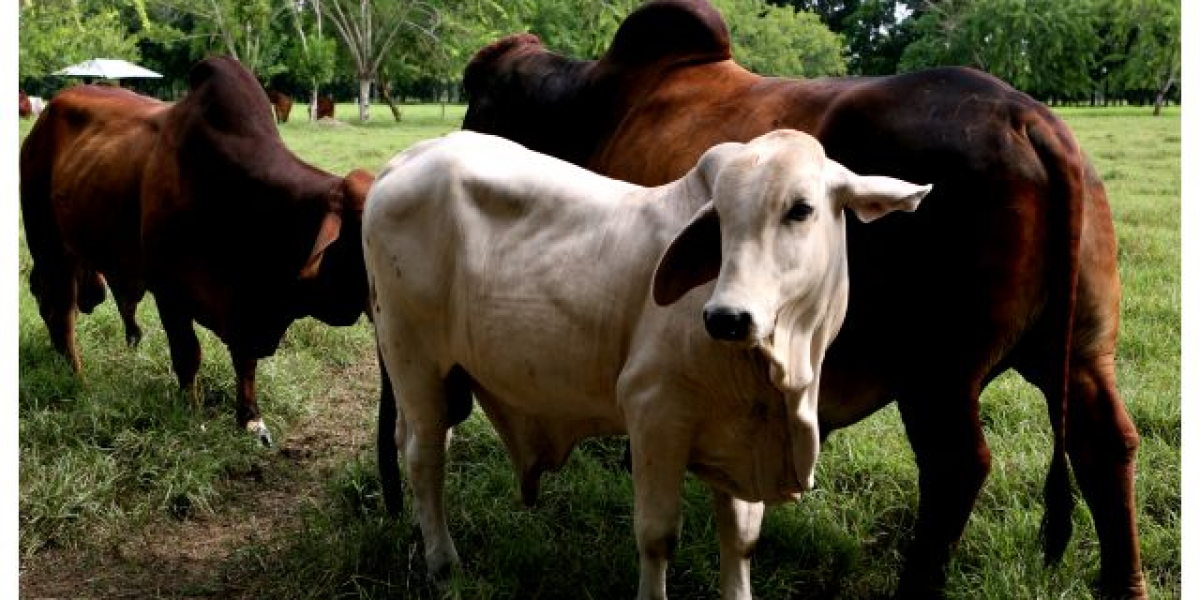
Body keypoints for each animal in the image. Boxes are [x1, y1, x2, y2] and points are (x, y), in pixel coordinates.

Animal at [21, 57, 372, 446]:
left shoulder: (245, 312)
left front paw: (251, 419)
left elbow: (245, 361)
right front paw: (191, 411)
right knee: (60, 311)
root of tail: (46, 113)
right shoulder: (169, 290)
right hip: (48, 244)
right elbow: (188, 353)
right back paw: (76, 376)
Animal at [362, 129, 926, 597]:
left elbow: (740, 540)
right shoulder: (654, 412)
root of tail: (403, 163)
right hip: (413, 359)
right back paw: (442, 561)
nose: (725, 318)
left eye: (801, 209)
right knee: (425, 455)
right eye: (719, 220)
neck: (780, 374)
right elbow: (657, 536)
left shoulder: (741, 440)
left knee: (414, 444)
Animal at [453, 2, 1147, 597]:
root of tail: (1028, 119)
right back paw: (1123, 582)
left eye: (476, 97)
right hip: (1081, 352)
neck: (590, 105)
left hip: (936, 375)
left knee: (957, 467)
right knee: (1106, 444)